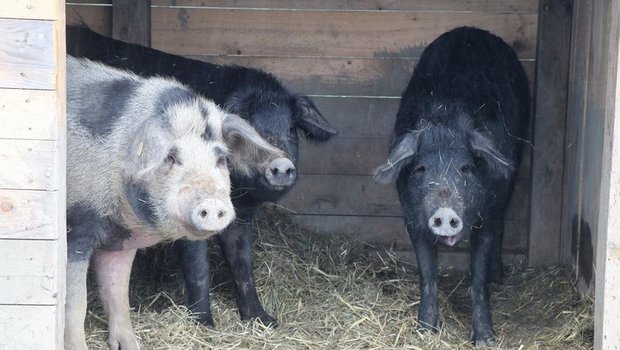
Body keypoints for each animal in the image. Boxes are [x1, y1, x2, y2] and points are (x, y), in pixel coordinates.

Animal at [66, 26, 340, 326]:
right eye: (250, 124)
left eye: (291, 128)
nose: (281, 164)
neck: (239, 194)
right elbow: (199, 268)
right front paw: (205, 323)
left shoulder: (241, 217)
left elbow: (243, 264)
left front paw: (264, 320)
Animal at [372, 26, 528, 346]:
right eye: (421, 169)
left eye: (466, 168)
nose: (444, 213)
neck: (445, 121)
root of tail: (471, 29)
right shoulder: (412, 217)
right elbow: (427, 274)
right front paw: (424, 332)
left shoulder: (487, 215)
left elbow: (477, 277)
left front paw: (485, 340)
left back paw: (498, 276)